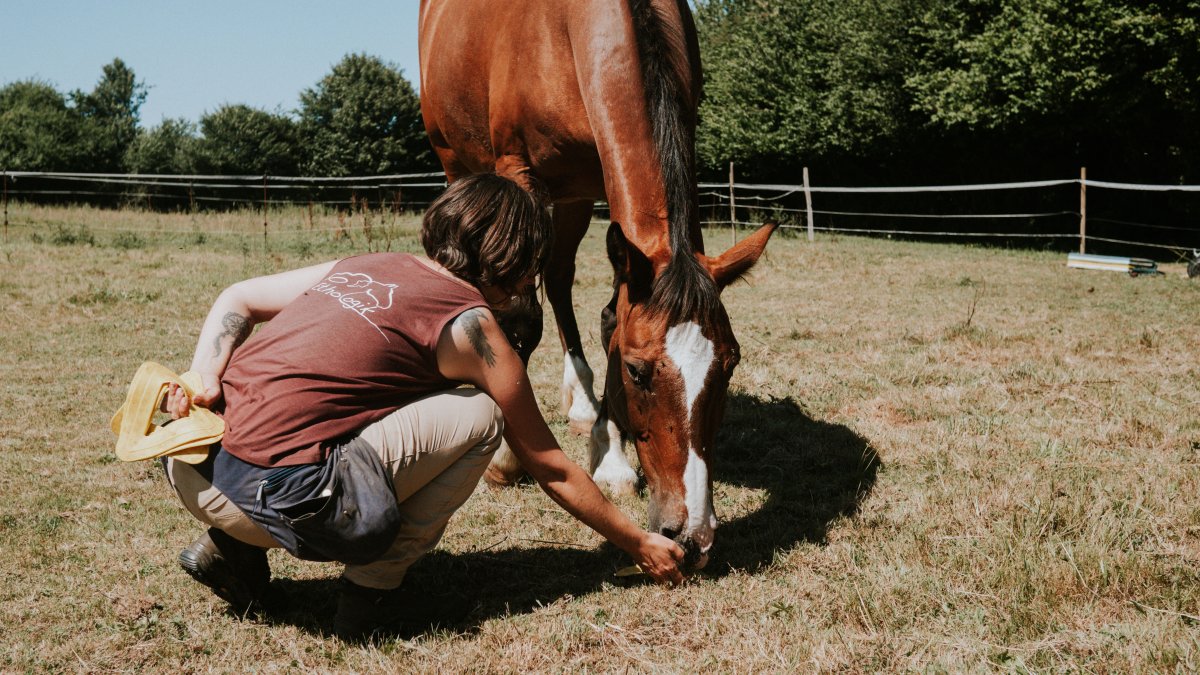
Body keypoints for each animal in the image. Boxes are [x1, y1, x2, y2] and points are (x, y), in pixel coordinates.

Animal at [419, 0, 774, 570]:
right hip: (459, 161)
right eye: (637, 371)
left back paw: (585, 407)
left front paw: (610, 455)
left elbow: (610, 316)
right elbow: (523, 319)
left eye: (730, 363)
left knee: (560, 277)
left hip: (576, 193)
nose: (692, 536)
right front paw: (507, 458)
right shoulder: (517, 171)